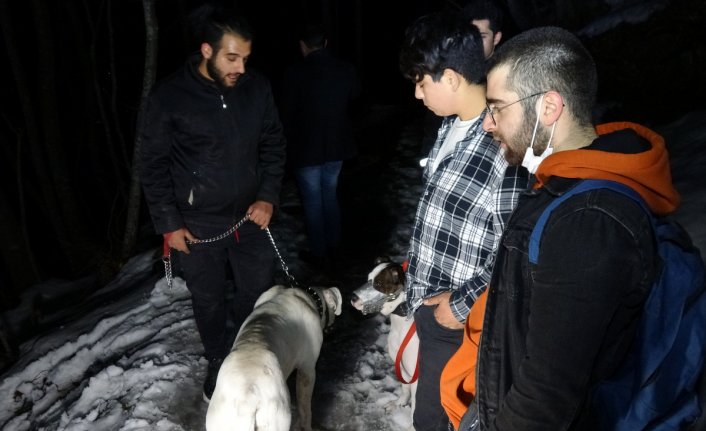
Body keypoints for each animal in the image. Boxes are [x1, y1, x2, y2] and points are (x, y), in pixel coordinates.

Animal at [348, 258, 416, 416]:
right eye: (368, 279)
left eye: (378, 284)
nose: (353, 298)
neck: (401, 323)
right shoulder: (401, 367)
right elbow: (405, 390)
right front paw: (399, 404)